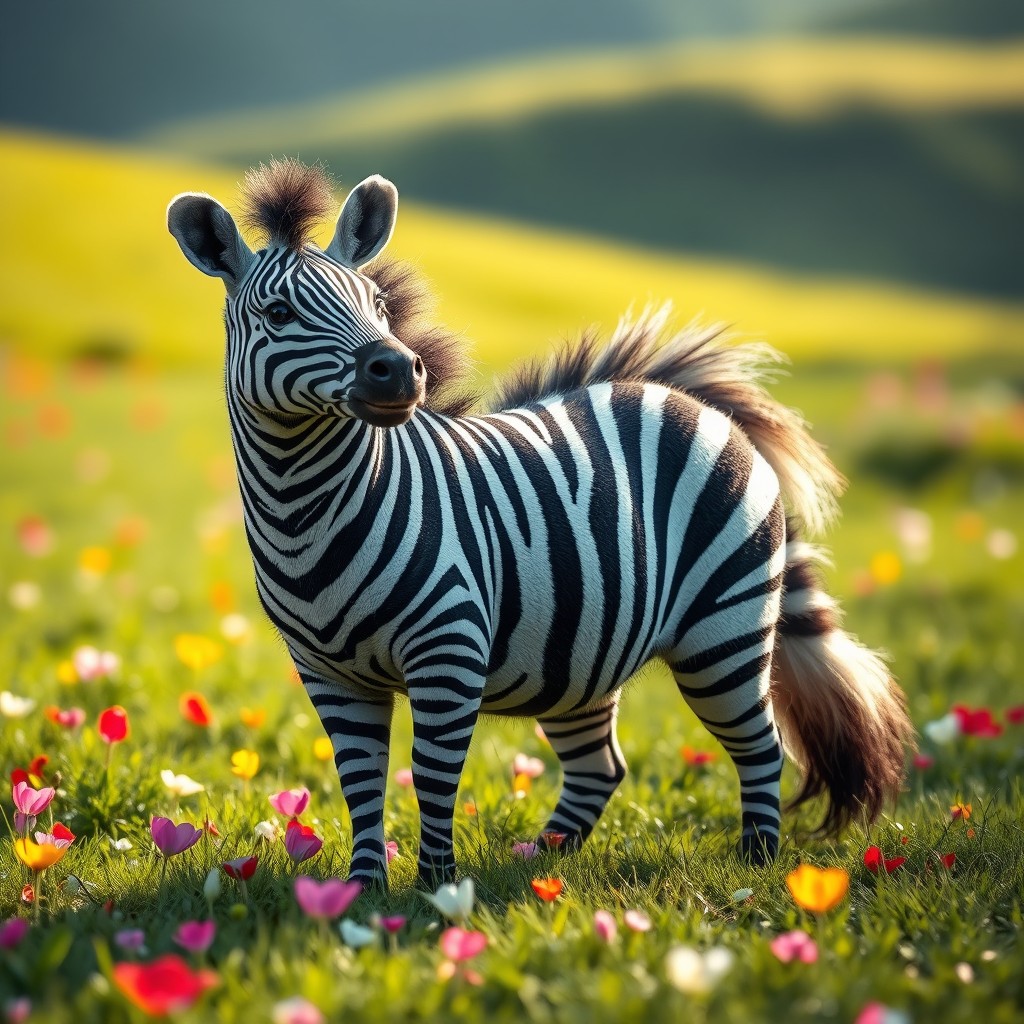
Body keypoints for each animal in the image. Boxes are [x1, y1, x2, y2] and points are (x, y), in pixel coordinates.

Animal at [168, 159, 912, 887]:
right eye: (278, 312)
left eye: (376, 304)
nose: (397, 371)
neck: (305, 511)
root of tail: (686, 399)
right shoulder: (329, 674)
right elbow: (360, 785)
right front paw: (362, 890)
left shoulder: (450, 649)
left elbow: (433, 779)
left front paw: (438, 891)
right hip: (580, 654)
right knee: (600, 765)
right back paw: (543, 858)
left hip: (723, 632)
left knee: (762, 745)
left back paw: (758, 860)